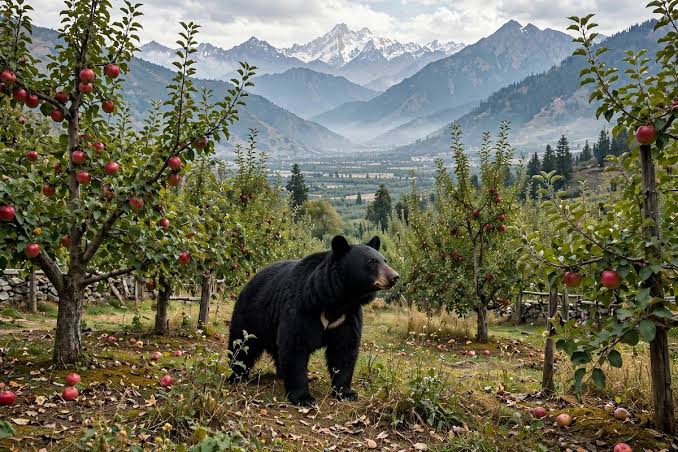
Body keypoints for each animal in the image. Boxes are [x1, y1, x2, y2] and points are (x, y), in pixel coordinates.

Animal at [227, 235, 399, 406]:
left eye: (385, 260)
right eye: (372, 262)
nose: (395, 277)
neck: (338, 299)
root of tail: (251, 279)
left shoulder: (348, 316)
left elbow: (344, 349)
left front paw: (346, 392)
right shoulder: (303, 307)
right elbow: (295, 346)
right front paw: (303, 397)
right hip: (252, 316)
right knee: (241, 346)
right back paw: (235, 377)